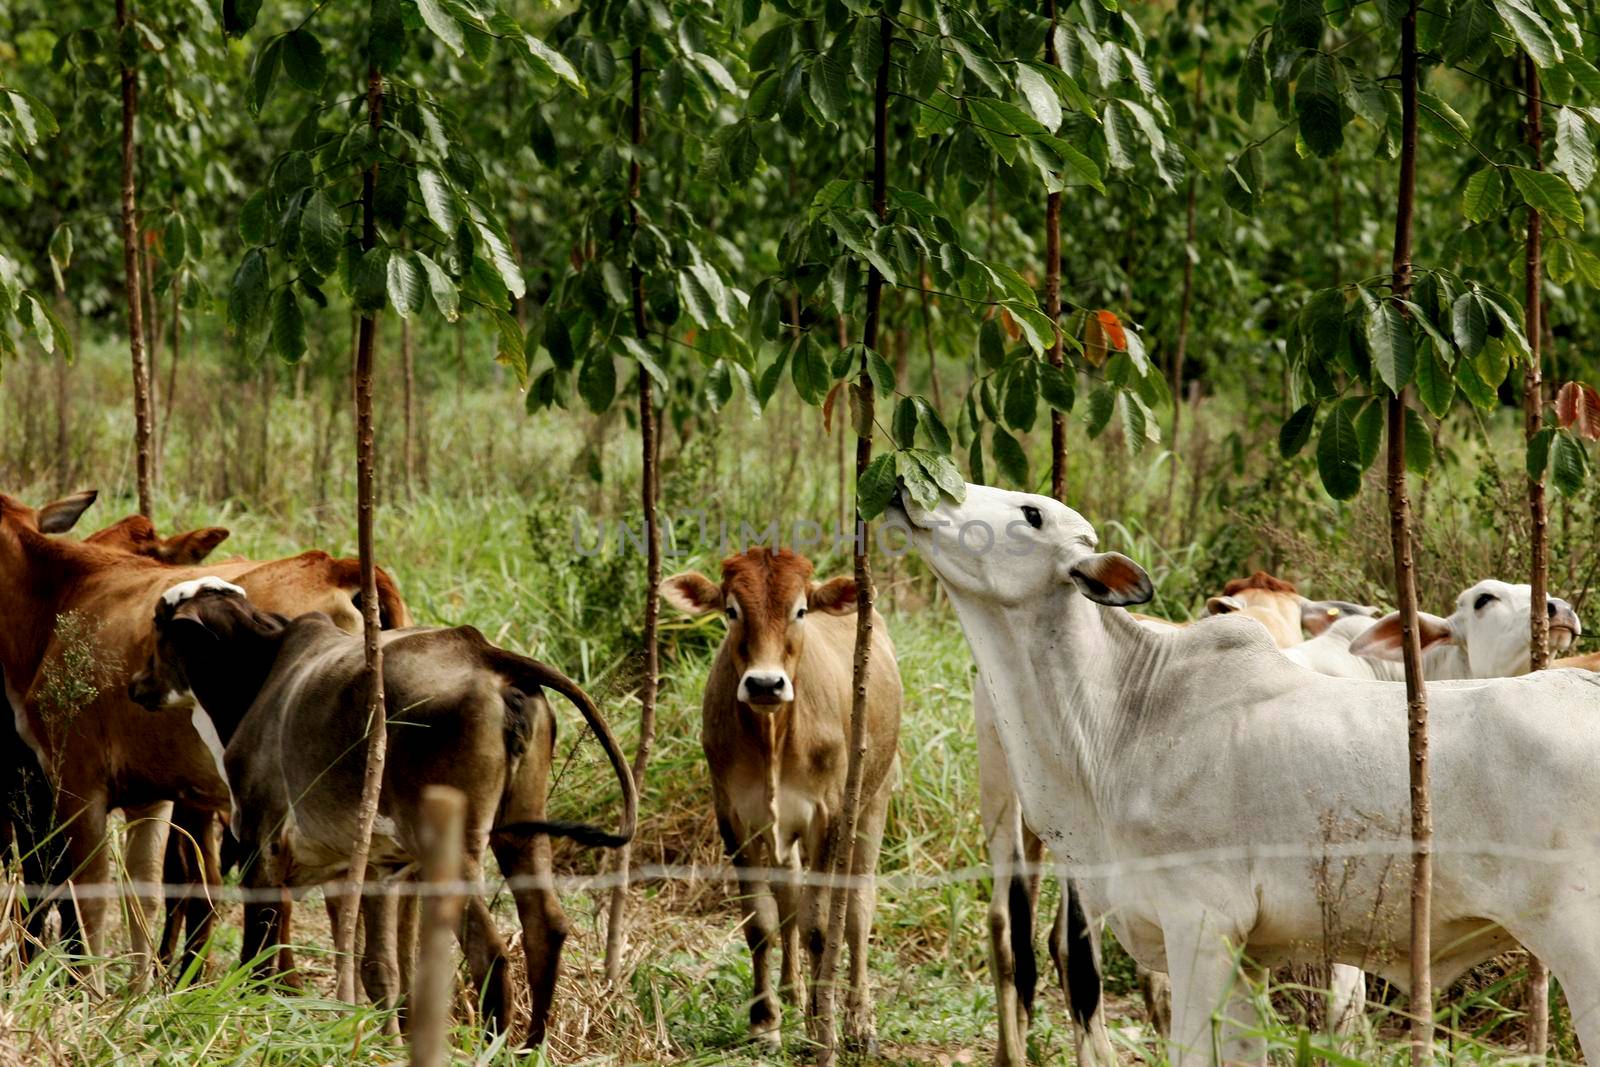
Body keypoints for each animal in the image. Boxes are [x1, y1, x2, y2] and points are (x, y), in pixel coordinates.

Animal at [1, 492, 412, 979]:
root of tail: (341, 568)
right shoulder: (152, 795)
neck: (62, 591)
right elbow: (144, 893)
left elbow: (81, 897)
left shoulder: (72, 785)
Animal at [659, 550, 902, 1049]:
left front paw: (821, 1028)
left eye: (800, 611)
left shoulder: (830, 817)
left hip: (874, 800)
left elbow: (820, 926)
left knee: (858, 907)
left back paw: (858, 1020)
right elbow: (762, 923)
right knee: (789, 894)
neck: (773, 732)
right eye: (731, 611)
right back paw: (793, 992)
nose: (765, 684)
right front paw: (765, 1022)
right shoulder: (734, 816)